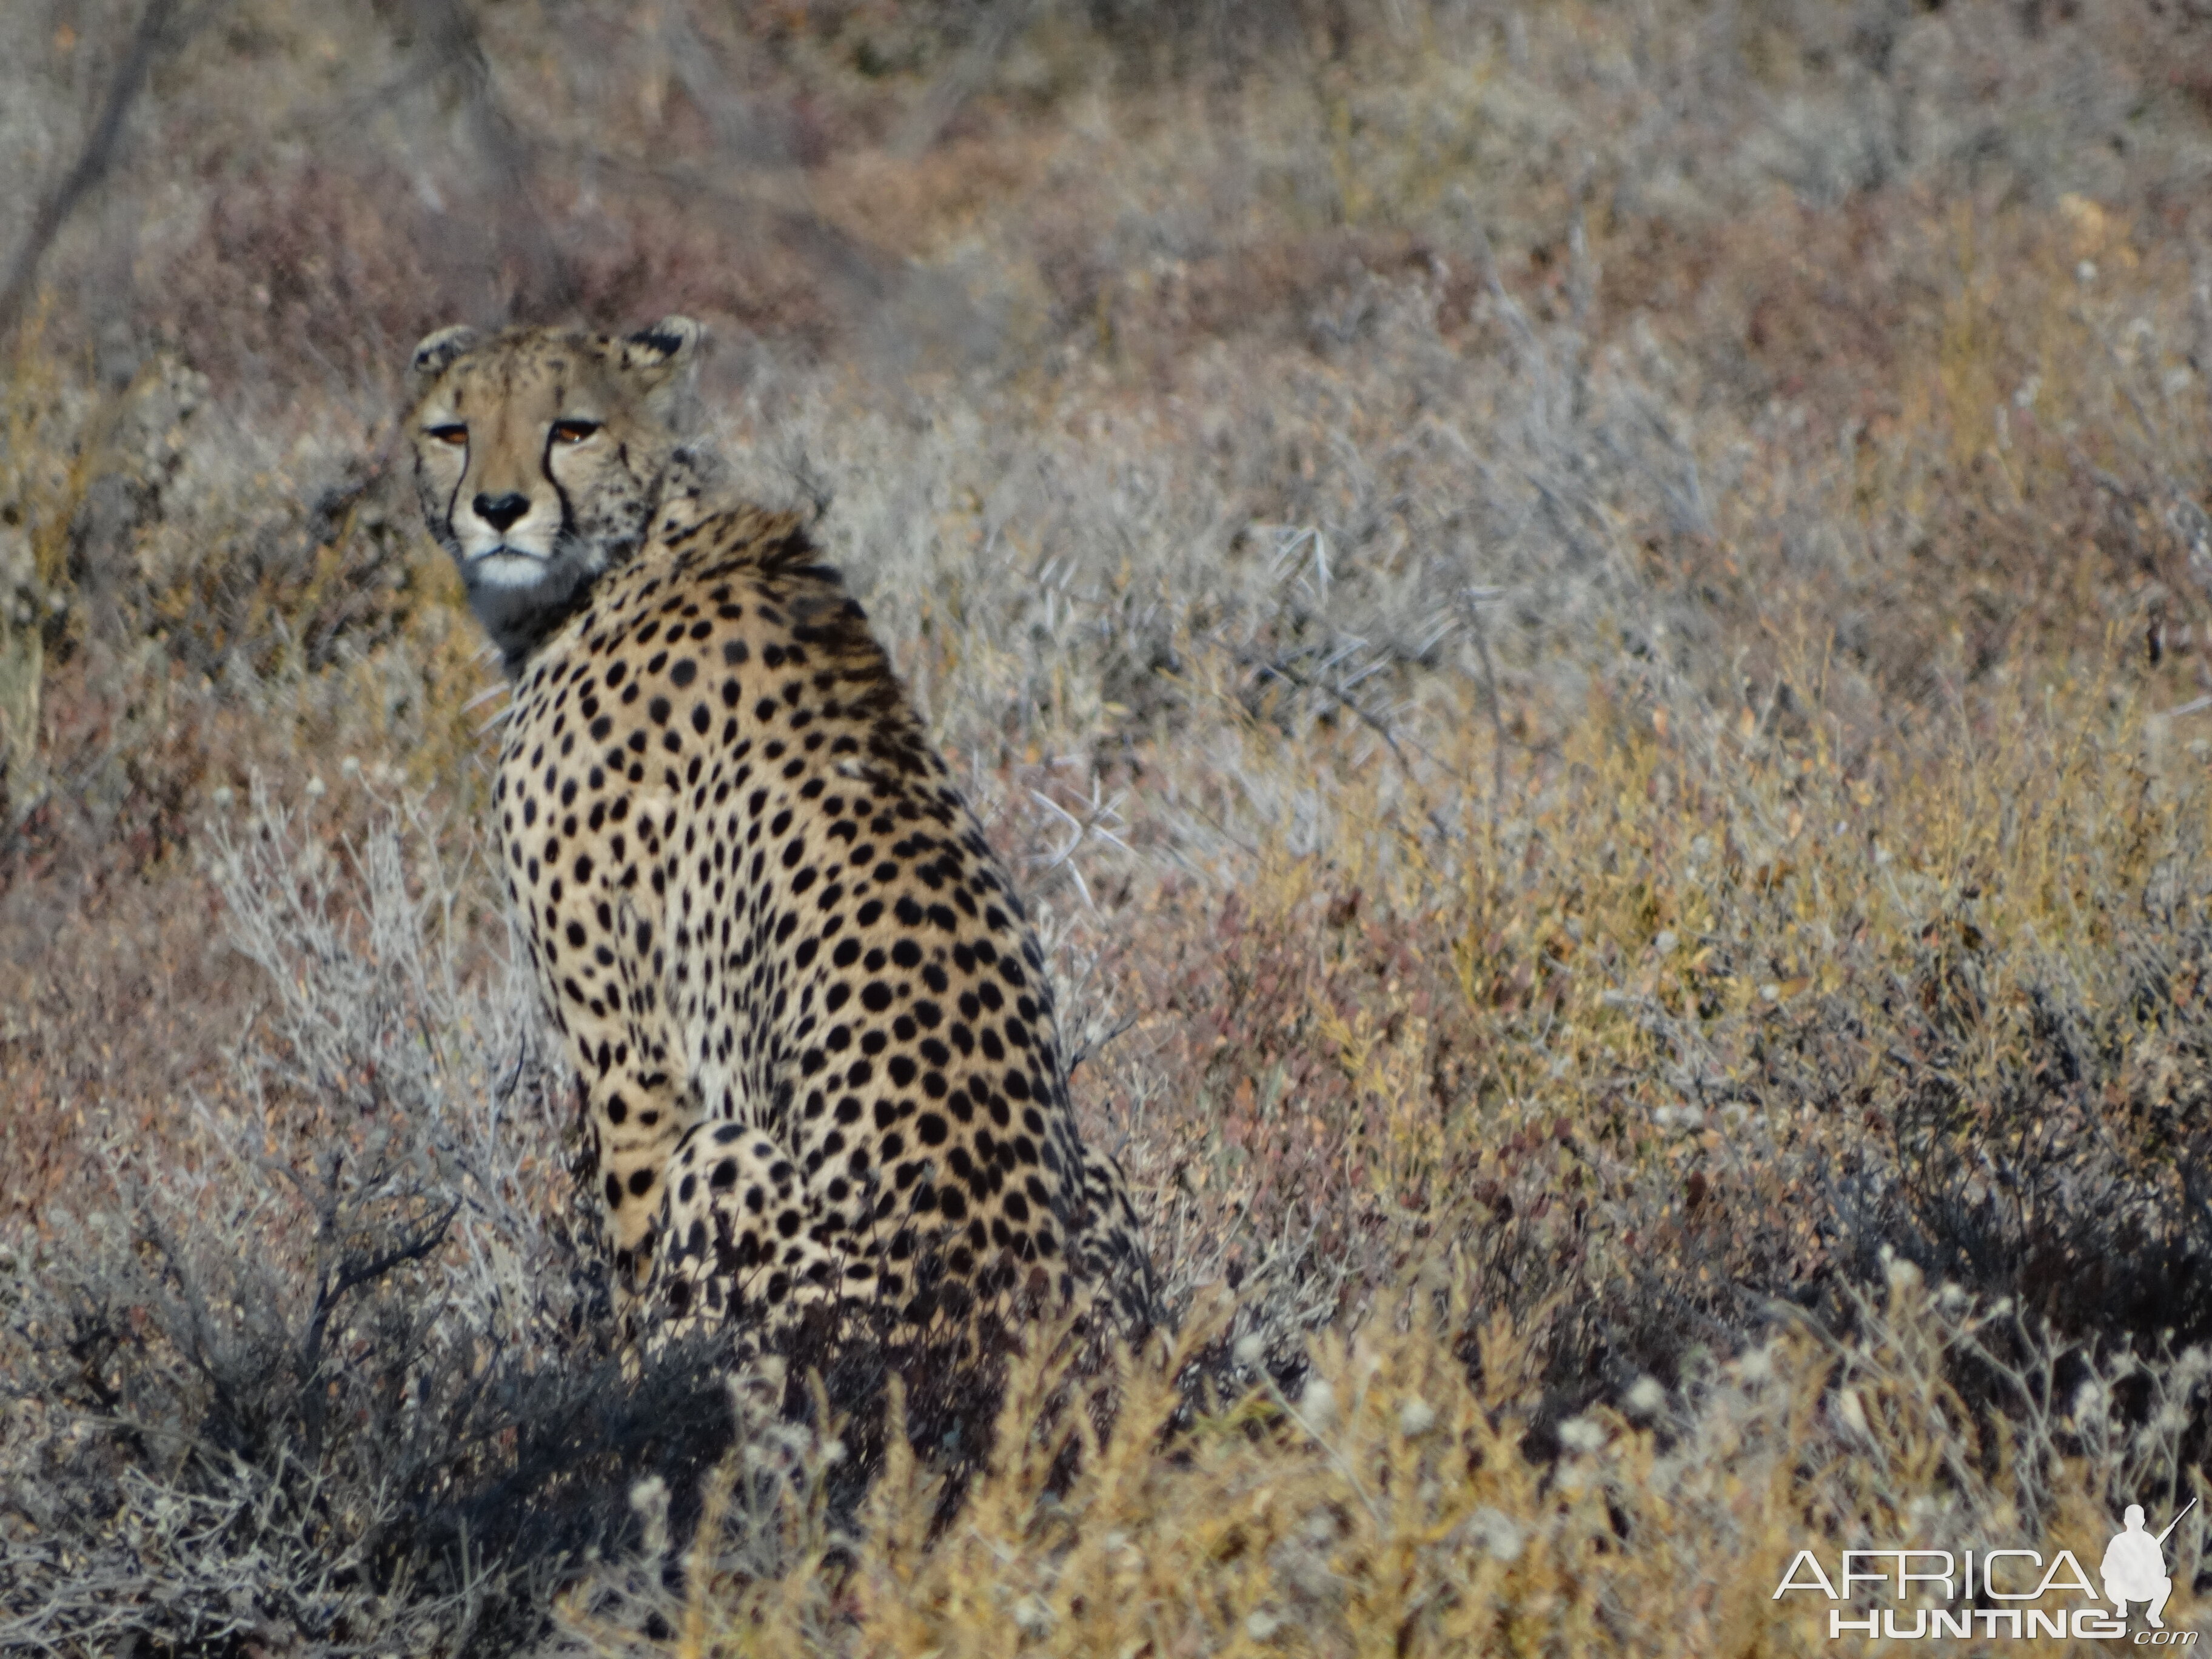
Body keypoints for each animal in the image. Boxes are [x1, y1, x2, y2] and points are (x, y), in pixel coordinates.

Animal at [411, 320, 1159, 1362]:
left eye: (573, 428)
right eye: (452, 431)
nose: (499, 509)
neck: (625, 557)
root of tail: (1029, 1334)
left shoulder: (636, 1057)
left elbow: (633, 1250)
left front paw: (613, 1384)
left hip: (733, 1159)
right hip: (1102, 1172)